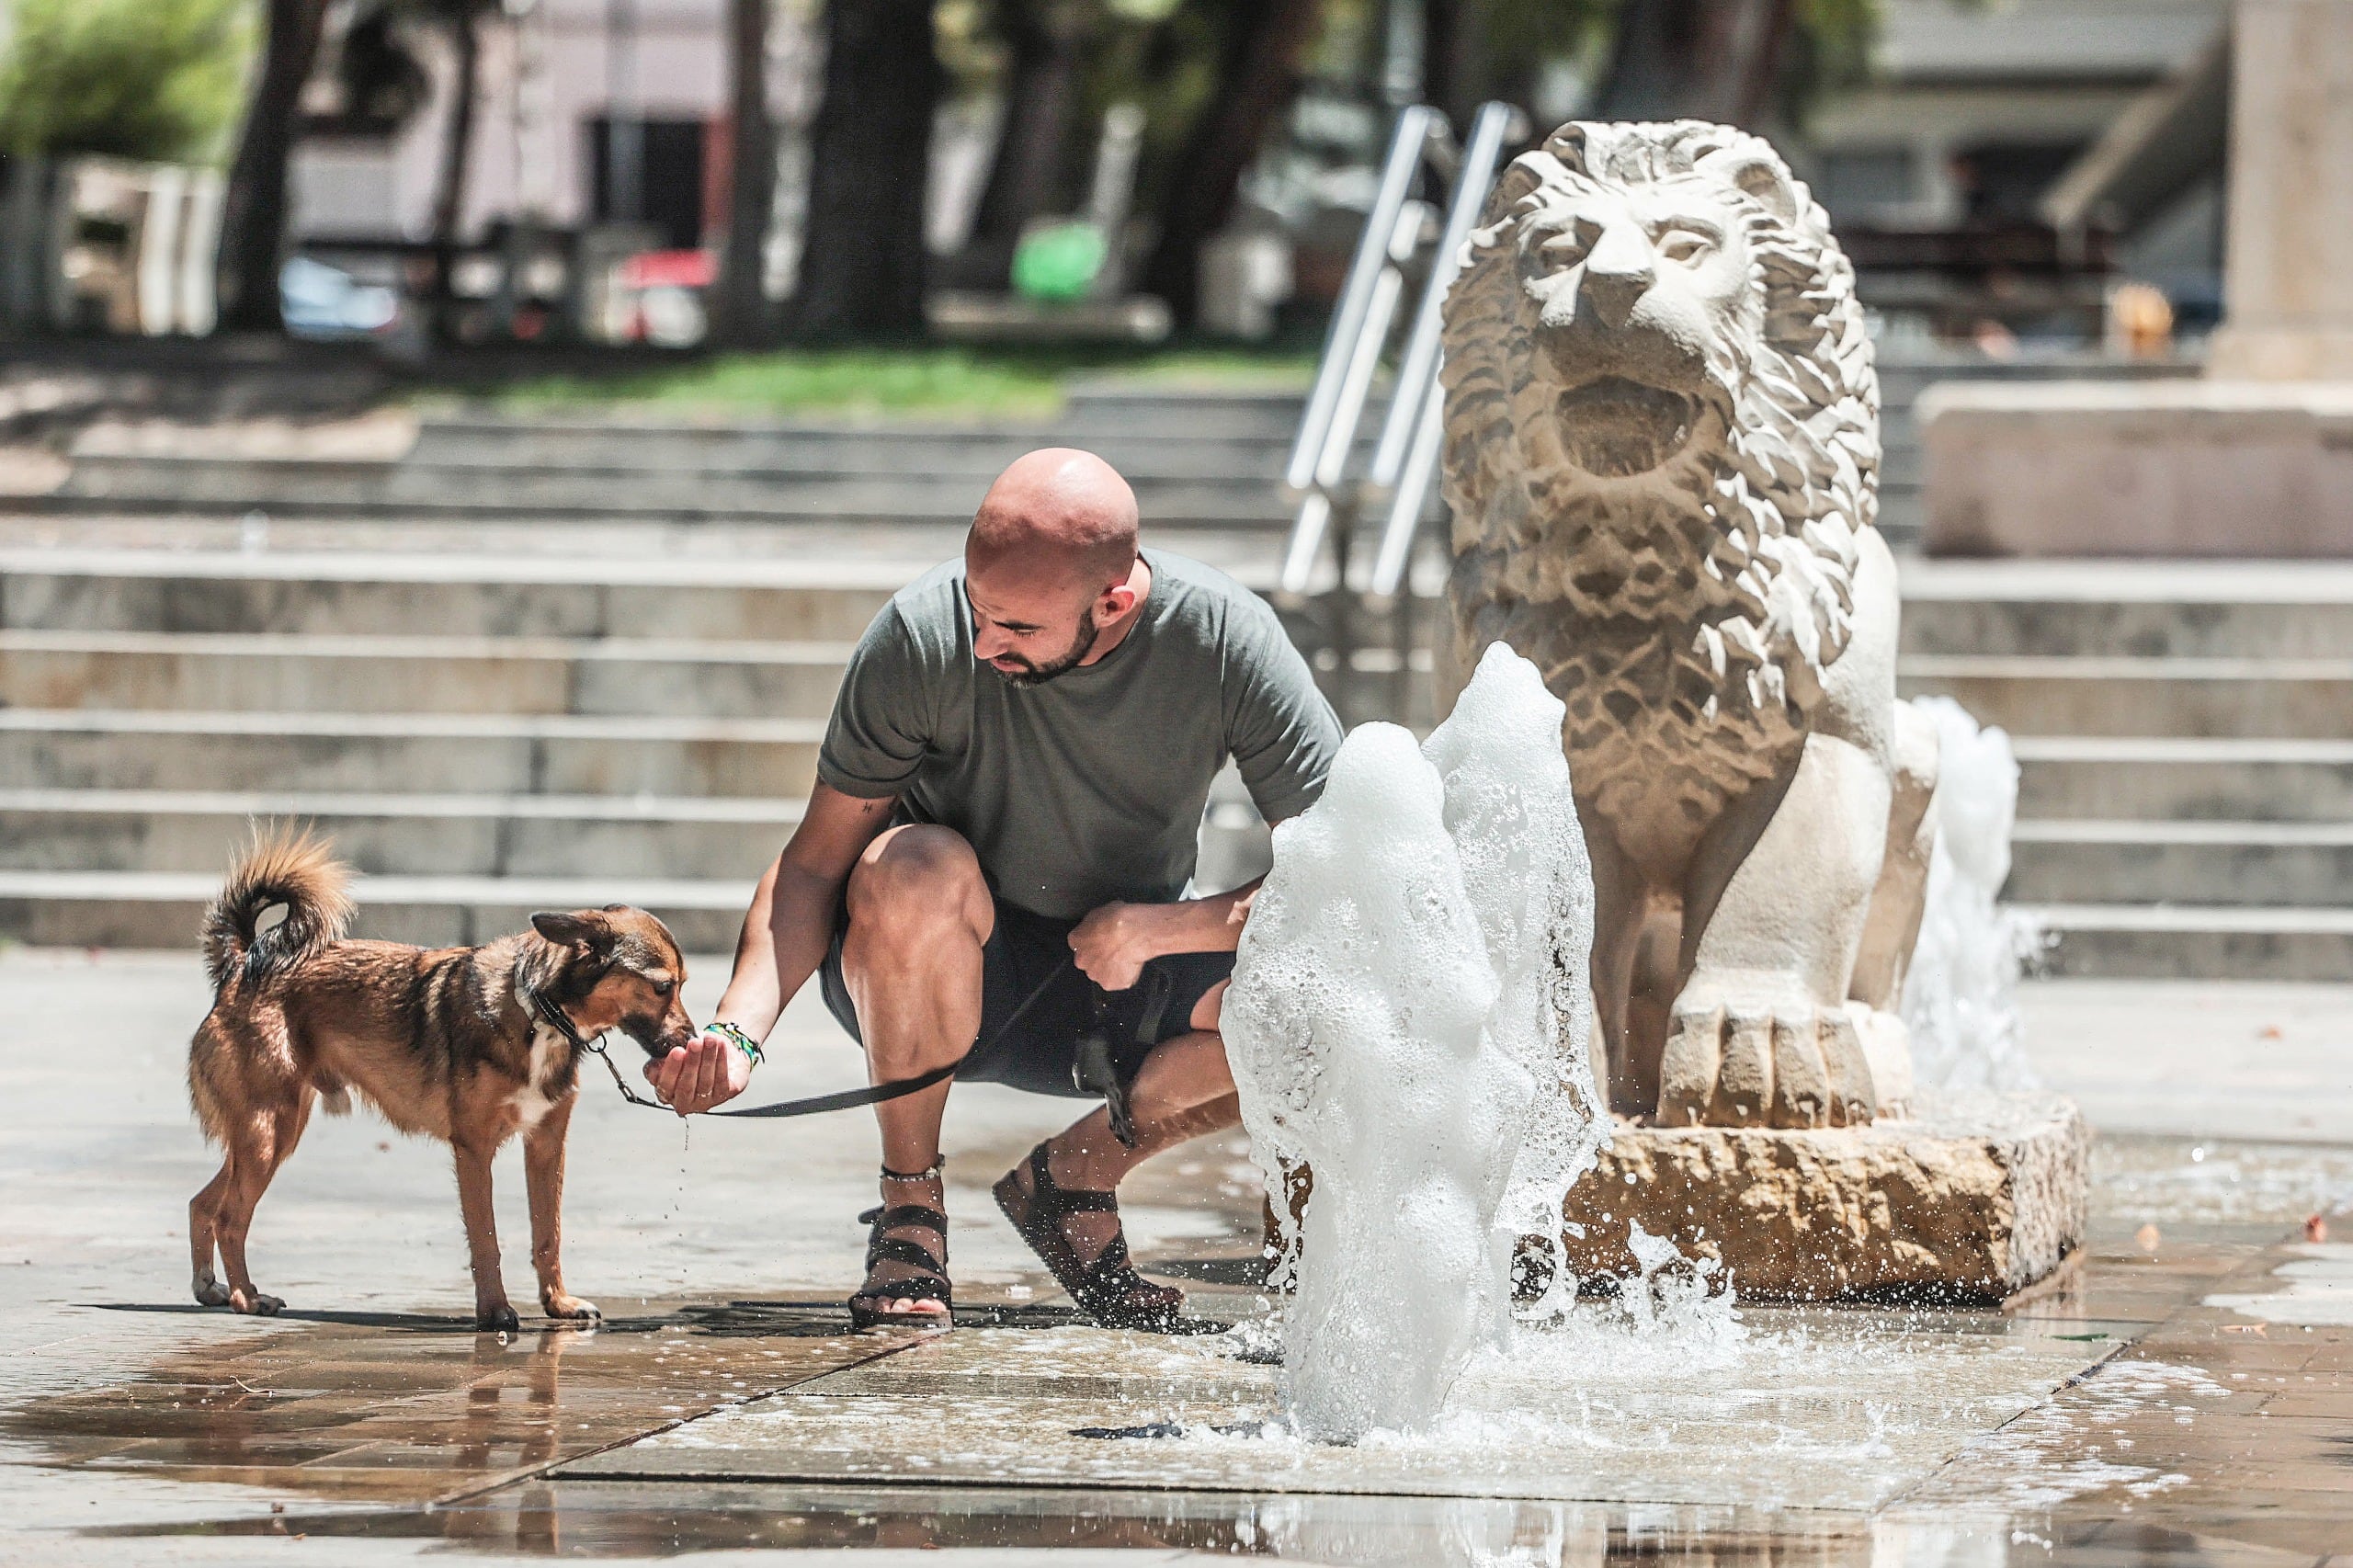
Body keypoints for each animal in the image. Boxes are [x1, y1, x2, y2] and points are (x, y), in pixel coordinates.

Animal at [183, 824, 696, 1327]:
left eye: (682, 986)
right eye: (663, 987)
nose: (691, 1039)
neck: (539, 1013)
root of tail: (240, 965)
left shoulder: (547, 1145)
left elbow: (547, 1234)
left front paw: (558, 1303)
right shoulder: (474, 1148)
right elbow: (486, 1238)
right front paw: (495, 1312)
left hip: (268, 1134)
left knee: (203, 1202)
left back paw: (211, 1287)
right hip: (269, 1130)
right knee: (230, 1217)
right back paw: (247, 1298)